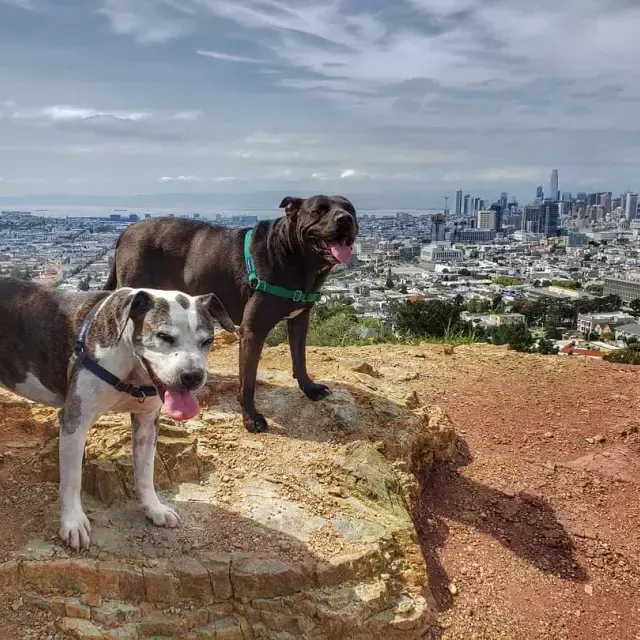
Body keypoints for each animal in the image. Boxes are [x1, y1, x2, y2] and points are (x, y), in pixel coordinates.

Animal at [0, 278, 235, 552]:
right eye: (164, 336)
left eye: (207, 341)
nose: (193, 376)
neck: (132, 364)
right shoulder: (74, 421)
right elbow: (72, 479)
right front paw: (73, 523)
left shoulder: (147, 422)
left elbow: (145, 471)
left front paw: (154, 509)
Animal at [107, 195, 362, 432]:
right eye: (319, 210)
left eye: (350, 209)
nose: (345, 219)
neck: (293, 255)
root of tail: (127, 230)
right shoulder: (252, 332)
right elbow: (248, 380)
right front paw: (251, 418)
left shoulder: (300, 320)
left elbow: (300, 358)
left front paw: (309, 388)